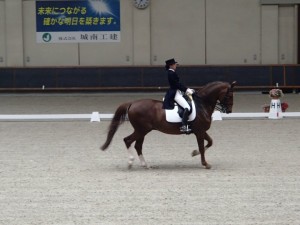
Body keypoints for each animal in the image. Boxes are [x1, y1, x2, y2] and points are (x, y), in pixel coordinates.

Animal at [101, 81, 237, 169]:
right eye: (230, 95)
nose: (229, 111)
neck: (202, 104)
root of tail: (132, 103)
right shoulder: (199, 131)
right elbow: (203, 147)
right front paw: (205, 164)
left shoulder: (201, 131)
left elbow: (210, 142)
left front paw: (194, 153)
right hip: (141, 130)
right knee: (128, 140)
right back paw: (130, 162)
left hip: (143, 131)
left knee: (137, 145)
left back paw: (145, 165)